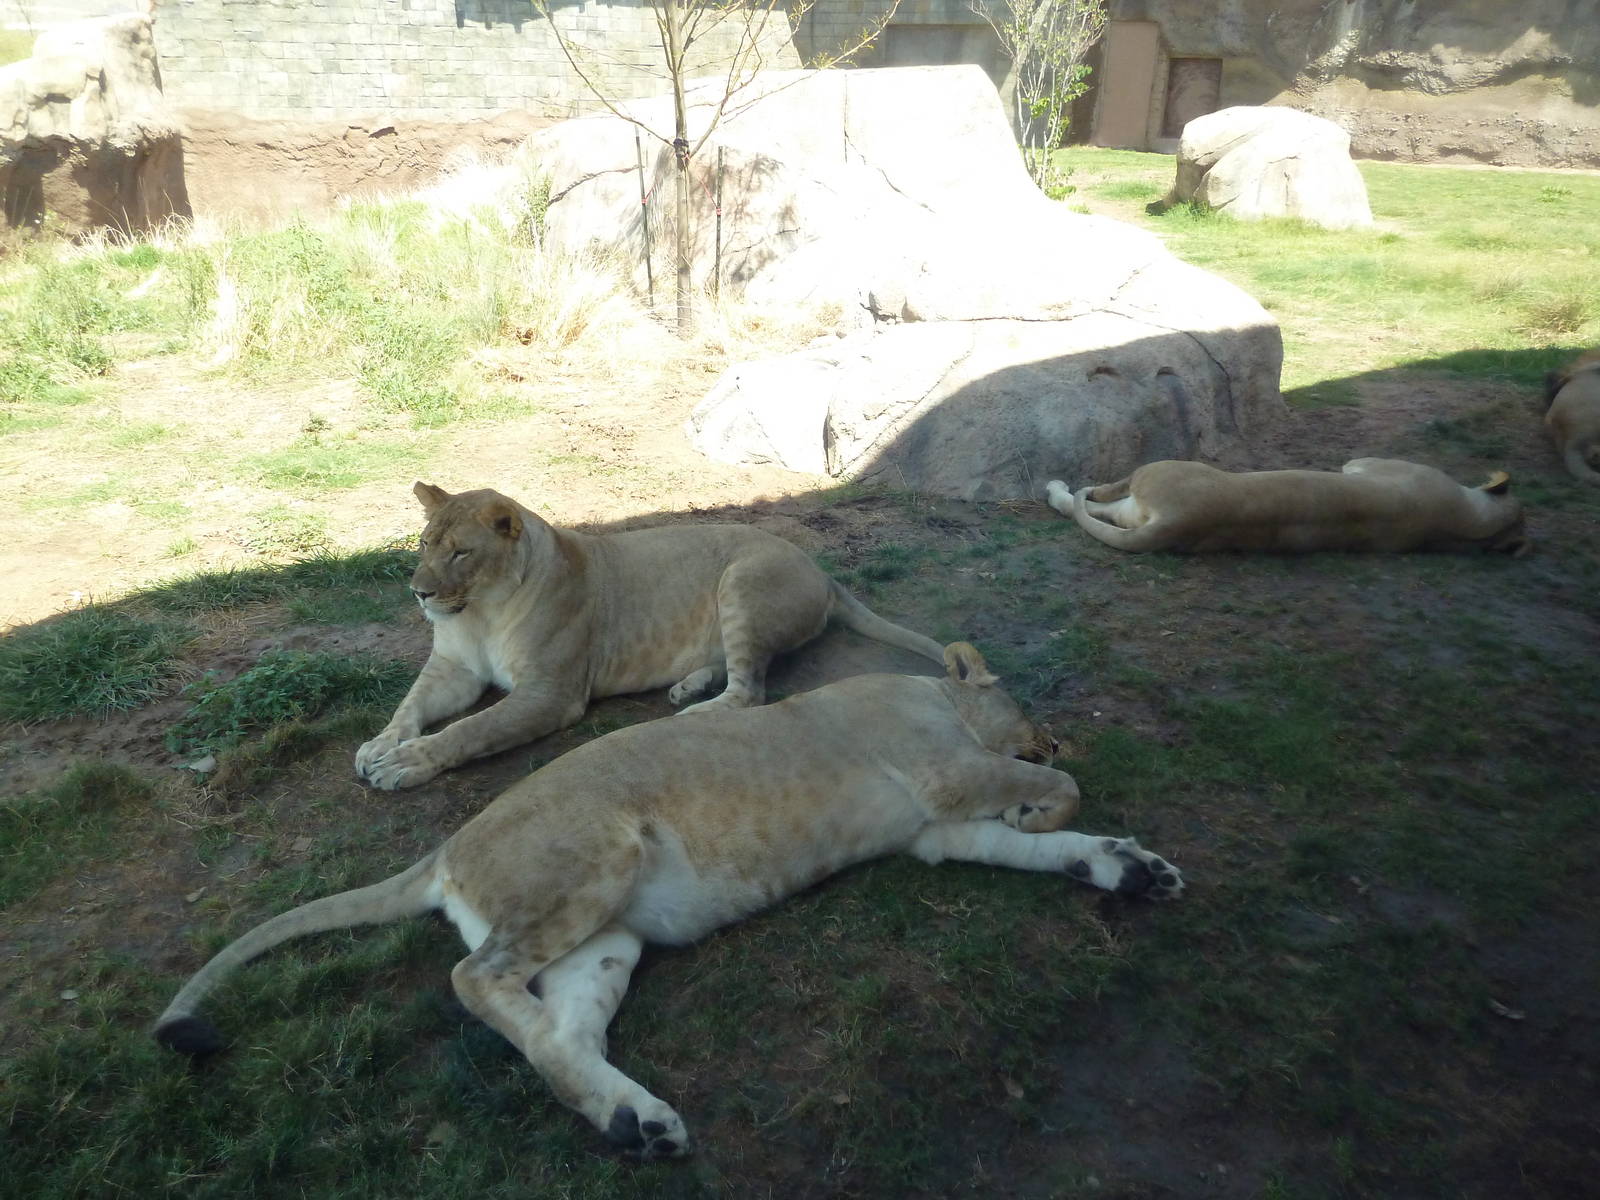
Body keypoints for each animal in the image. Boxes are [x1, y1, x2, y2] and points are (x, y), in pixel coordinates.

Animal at [156, 643, 1184, 1159]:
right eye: (1028, 707)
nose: (1052, 734)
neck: (939, 696)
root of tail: (444, 848)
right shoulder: (942, 772)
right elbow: (1056, 797)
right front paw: (1054, 801)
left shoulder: (933, 830)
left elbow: (1036, 846)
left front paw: (1123, 866)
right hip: (595, 861)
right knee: (472, 978)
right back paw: (628, 1116)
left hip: (603, 944)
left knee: (559, 1033)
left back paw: (633, 1120)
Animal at [354, 482, 947, 790]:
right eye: (424, 544)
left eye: (461, 552)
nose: (419, 593)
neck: (480, 612)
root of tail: (821, 571)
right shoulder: (452, 668)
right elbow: (409, 705)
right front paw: (381, 744)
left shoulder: (551, 693)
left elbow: (472, 729)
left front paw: (407, 762)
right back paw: (689, 685)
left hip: (742, 582)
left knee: (750, 689)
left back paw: (695, 712)